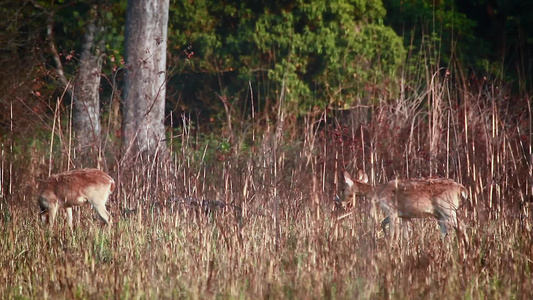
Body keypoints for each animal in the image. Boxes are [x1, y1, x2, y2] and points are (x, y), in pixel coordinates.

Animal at [338, 170, 468, 243]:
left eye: (343, 188)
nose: (340, 203)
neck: (378, 192)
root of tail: (461, 188)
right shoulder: (405, 216)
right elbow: (404, 234)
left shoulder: (392, 210)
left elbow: (392, 233)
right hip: (440, 214)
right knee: (447, 230)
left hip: (447, 208)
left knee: (461, 227)